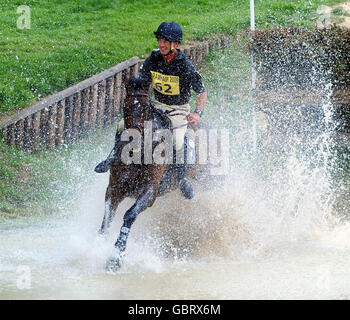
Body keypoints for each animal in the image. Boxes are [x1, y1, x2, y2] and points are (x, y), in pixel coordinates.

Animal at [97, 76, 220, 272]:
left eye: (145, 107)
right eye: (125, 104)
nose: (132, 138)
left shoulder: (149, 192)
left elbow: (129, 215)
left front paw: (114, 259)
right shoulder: (114, 188)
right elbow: (107, 217)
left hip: (210, 181)